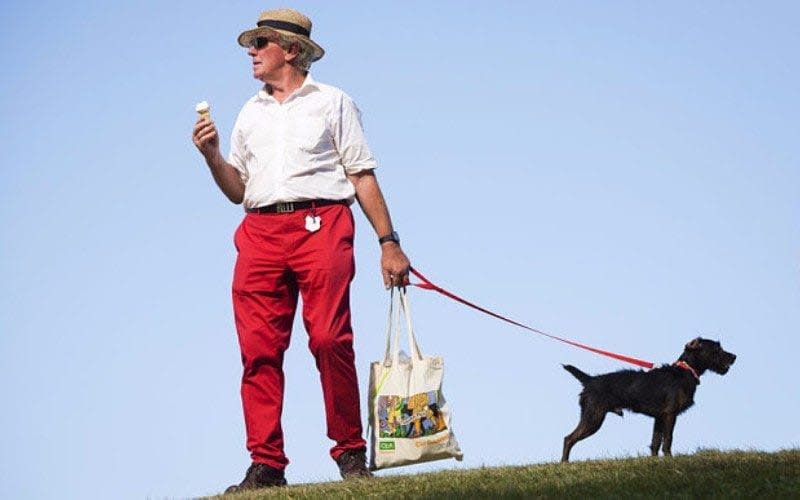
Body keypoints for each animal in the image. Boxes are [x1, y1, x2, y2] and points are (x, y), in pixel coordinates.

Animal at [560, 338, 736, 462]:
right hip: (593, 418)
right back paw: (564, 463)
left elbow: (656, 442)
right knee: (568, 438)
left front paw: (655, 461)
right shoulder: (670, 414)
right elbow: (668, 439)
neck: (684, 371)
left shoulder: (659, 417)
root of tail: (590, 380)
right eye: (717, 348)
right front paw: (669, 459)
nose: (735, 356)